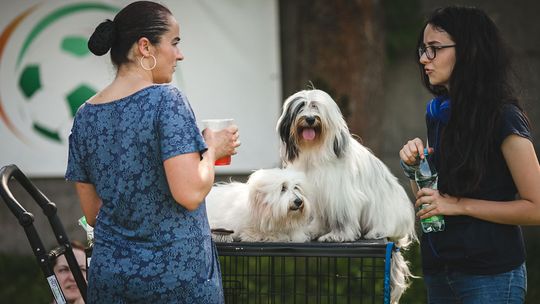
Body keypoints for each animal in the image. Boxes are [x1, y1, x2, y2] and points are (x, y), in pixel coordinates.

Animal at [276, 89, 420, 302]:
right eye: (301, 107)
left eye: (316, 107)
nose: (310, 119)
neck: (315, 150)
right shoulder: (318, 195)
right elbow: (319, 218)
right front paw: (314, 230)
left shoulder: (340, 195)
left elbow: (342, 218)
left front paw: (337, 236)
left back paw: (375, 232)